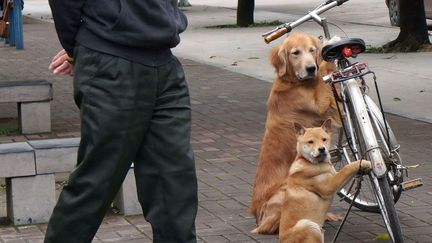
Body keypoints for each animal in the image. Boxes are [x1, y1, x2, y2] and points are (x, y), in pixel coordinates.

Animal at [250, 31, 340, 228]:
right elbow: (324, 75)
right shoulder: (320, 103)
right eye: (295, 53)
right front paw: (329, 44)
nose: (311, 68)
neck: (294, 82)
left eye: (312, 50)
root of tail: (257, 217)